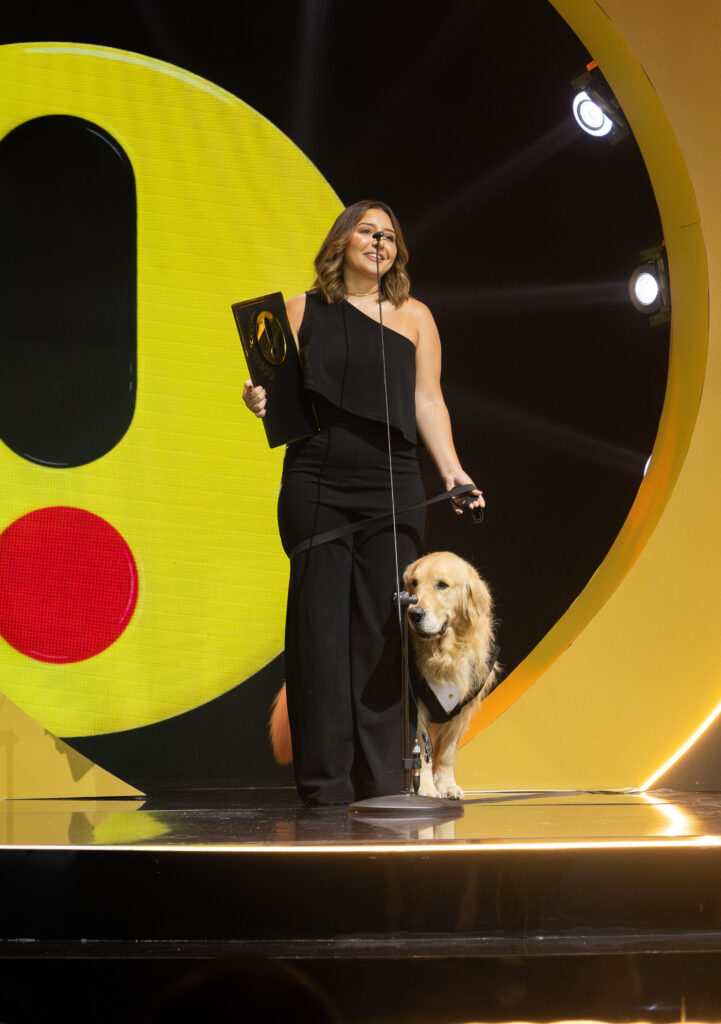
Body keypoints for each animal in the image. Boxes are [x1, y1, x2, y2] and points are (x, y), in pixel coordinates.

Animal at [403, 552, 497, 798]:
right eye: (414, 583)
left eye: (442, 585)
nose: (414, 614)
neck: (444, 654)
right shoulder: (419, 704)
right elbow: (421, 752)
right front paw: (425, 788)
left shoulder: (461, 710)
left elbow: (446, 754)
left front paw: (447, 786)